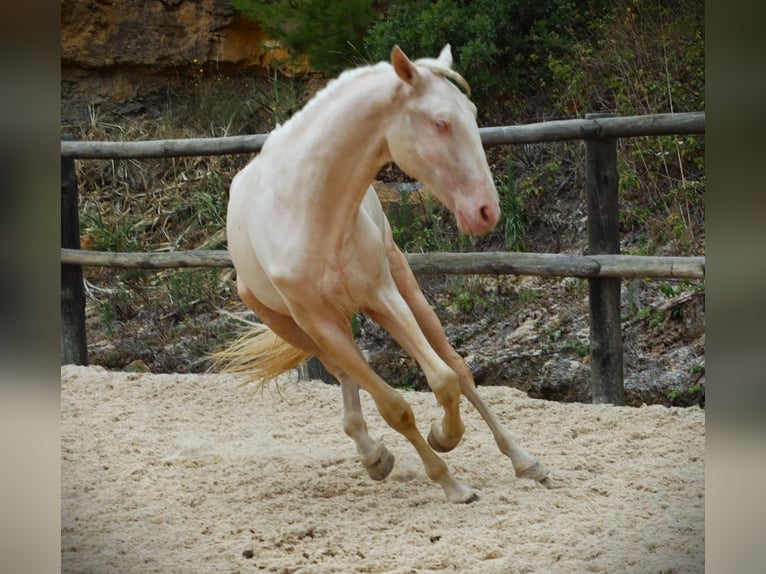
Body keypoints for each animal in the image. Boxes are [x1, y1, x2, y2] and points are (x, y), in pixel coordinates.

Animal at [216, 45, 552, 504]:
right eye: (440, 122)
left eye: (471, 112)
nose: (486, 211)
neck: (311, 212)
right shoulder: (321, 324)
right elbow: (394, 407)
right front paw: (449, 481)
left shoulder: (382, 296)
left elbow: (444, 380)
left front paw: (444, 437)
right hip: (298, 328)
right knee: (347, 378)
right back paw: (374, 456)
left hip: (402, 284)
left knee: (457, 368)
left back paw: (524, 461)